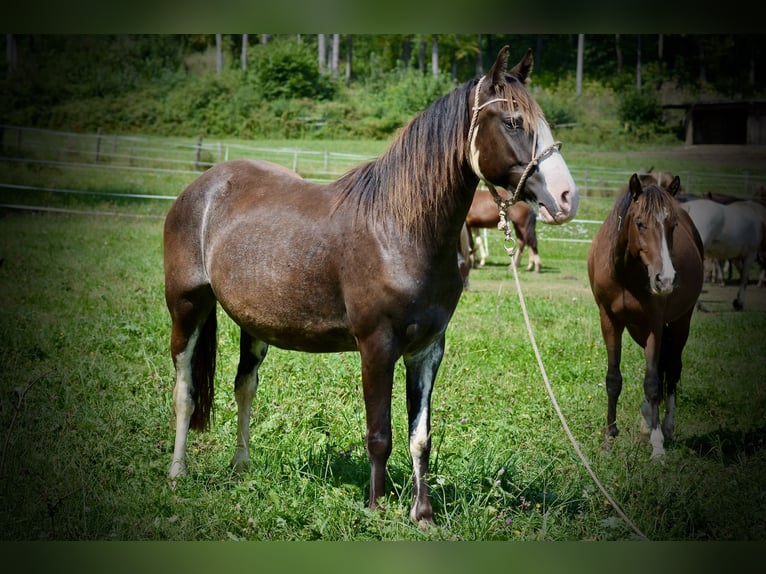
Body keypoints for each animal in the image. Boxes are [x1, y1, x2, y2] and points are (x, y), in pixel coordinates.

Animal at [165, 46, 580, 528]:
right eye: (513, 122)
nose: (567, 197)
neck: (398, 230)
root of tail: (199, 189)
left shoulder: (427, 350)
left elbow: (421, 436)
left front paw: (423, 514)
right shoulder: (377, 346)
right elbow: (380, 433)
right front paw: (376, 506)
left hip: (253, 325)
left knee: (244, 386)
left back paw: (241, 467)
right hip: (187, 308)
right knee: (185, 390)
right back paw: (177, 472)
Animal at [592, 173, 704, 462]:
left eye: (672, 225)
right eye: (640, 223)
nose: (665, 280)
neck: (624, 272)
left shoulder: (655, 323)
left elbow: (653, 383)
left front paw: (657, 445)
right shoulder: (610, 320)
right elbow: (613, 379)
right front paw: (608, 439)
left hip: (680, 322)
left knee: (672, 369)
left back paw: (666, 427)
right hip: (637, 329)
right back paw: (646, 424)